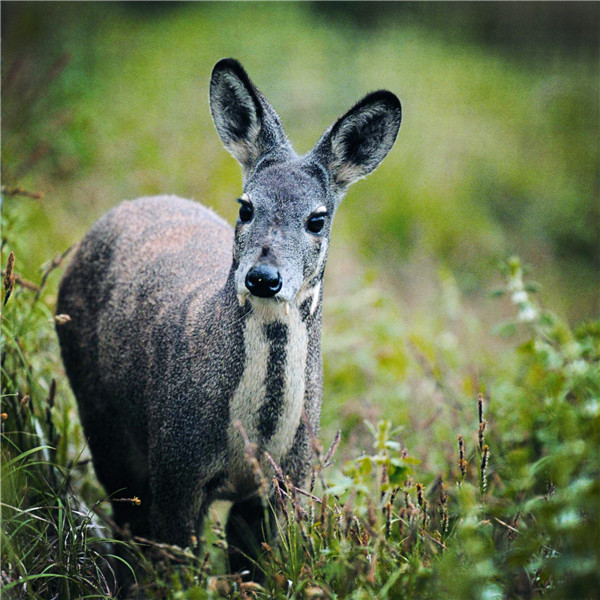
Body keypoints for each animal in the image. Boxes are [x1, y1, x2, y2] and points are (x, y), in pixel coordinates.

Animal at [57, 56, 404, 576]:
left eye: (317, 219)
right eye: (246, 207)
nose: (263, 277)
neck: (253, 441)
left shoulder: (286, 484)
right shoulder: (176, 467)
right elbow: (174, 567)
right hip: (99, 413)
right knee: (125, 518)